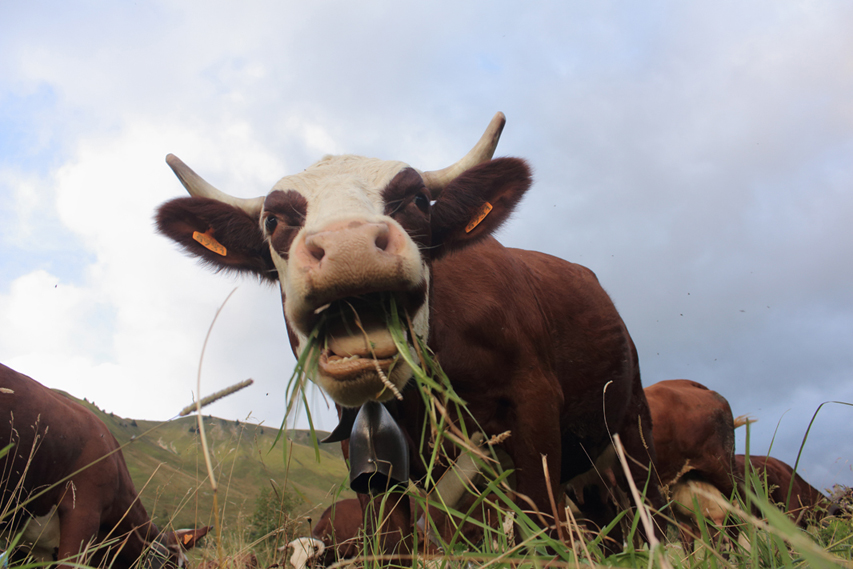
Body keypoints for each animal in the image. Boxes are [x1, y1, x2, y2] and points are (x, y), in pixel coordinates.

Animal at [156, 111, 664, 552]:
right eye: (273, 220)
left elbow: (540, 520)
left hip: (632, 430)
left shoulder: (534, 404)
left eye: (417, 201)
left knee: (647, 513)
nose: (350, 246)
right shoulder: (365, 457)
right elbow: (394, 540)